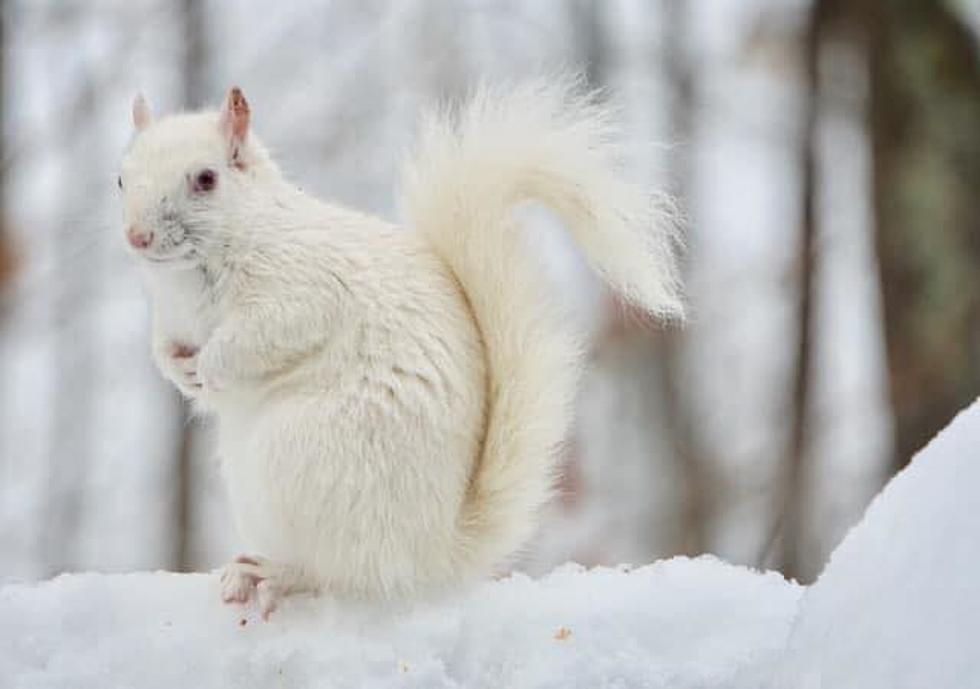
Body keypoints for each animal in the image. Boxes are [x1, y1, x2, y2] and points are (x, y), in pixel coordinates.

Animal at [117, 78, 680, 616]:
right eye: (121, 178)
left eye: (206, 179)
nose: (136, 237)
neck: (190, 276)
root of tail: (433, 553)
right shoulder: (173, 318)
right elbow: (165, 349)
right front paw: (181, 372)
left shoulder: (303, 290)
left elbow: (266, 334)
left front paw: (213, 365)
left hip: (302, 456)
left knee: (344, 574)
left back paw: (278, 575)